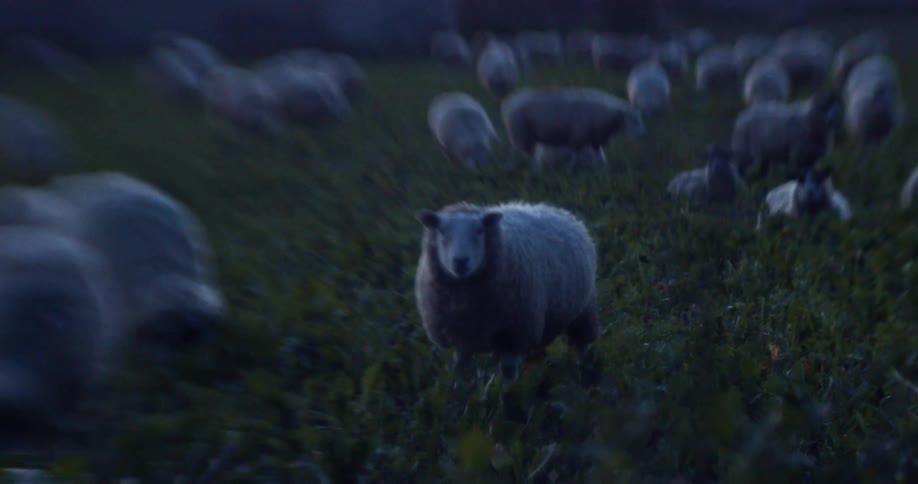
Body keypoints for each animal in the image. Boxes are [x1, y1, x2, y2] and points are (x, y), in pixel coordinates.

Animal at [414, 201, 600, 382]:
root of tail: (549, 207)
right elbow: (461, 370)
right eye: (441, 231)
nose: (460, 261)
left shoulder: (513, 335)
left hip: (583, 311)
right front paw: (462, 386)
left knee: (581, 344)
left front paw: (507, 389)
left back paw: (582, 372)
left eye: (479, 230)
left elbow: (508, 372)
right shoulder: (460, 339)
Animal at [500, 87, 645, 167]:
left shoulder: (595, 138)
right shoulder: (579, 136)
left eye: (639, 120)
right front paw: (570, 169)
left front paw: (604, 169)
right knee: (523, 154)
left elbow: (599, 156)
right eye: (633, 120)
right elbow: (576, 155)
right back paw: (532, 170)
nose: (643, 134)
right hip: (521, 132)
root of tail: (511, 100)